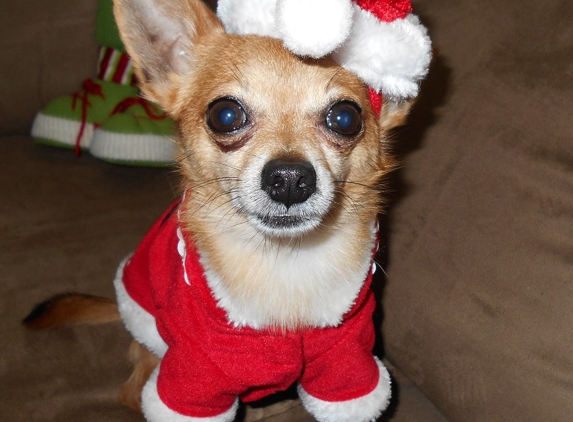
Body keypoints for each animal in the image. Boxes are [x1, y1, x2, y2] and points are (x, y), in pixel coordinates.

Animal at [24, 0, 422, 422]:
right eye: (226, 115)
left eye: (346, 118)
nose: (289, 177)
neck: (283, 266)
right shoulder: (192, 379)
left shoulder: (347, 365)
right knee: (132, 391)